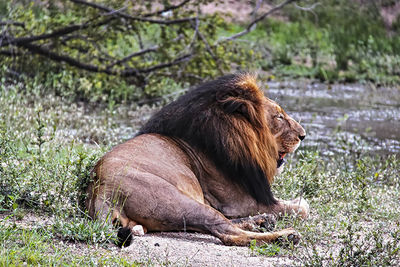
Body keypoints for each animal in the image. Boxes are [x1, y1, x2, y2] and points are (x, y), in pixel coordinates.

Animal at [86, 73, 308, 247]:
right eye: (279, 117)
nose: (303, 135)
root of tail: (101, 190)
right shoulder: (236, 202)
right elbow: (302, 208)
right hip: (178, 200)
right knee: (227, 232)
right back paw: (285, 236)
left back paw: (262, 221)